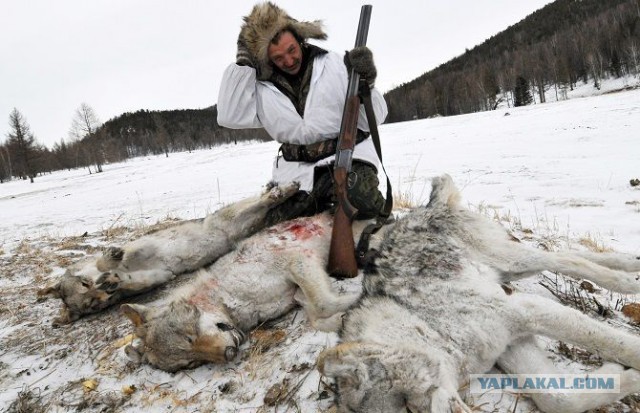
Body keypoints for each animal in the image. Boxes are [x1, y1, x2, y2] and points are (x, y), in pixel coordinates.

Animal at [37, 181, 300, 326]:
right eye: (93, 305)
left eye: (84, 284)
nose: (106, 295)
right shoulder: (158, 275)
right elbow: (131, 281)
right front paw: (114, 280)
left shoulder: (141, 248)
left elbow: (107, 260)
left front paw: (110, 261)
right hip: (243, 223)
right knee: (263, 207)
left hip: (233, 216)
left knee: (262, 199)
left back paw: (282, 189)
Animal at [320, 174, 640, 412]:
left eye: (409, 407)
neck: (426, 325)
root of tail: (426, 206)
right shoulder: (511, 343)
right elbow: (558, 399)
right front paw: (623, 375)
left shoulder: (525, 310)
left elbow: (619, 344)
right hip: (511, 270)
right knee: (571, 256)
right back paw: (631, 265)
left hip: (511, 260)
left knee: (568, 260)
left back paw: (628, 280)